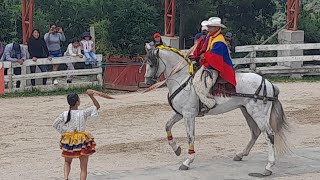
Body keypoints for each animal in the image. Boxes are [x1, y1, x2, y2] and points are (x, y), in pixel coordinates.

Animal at [144, 44, 288, 177]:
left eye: (151, 64)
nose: (147, 82)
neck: (182, 80)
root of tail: (268, 83)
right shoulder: (180, 114)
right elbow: (167, 126)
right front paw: (176, 149)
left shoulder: (188, 115)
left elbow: (190, 137)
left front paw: (188, 161)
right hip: (246, 111)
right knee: (255, 132)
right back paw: (241, 154)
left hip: (258, 114)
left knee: (269, 134)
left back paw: (268, 167)